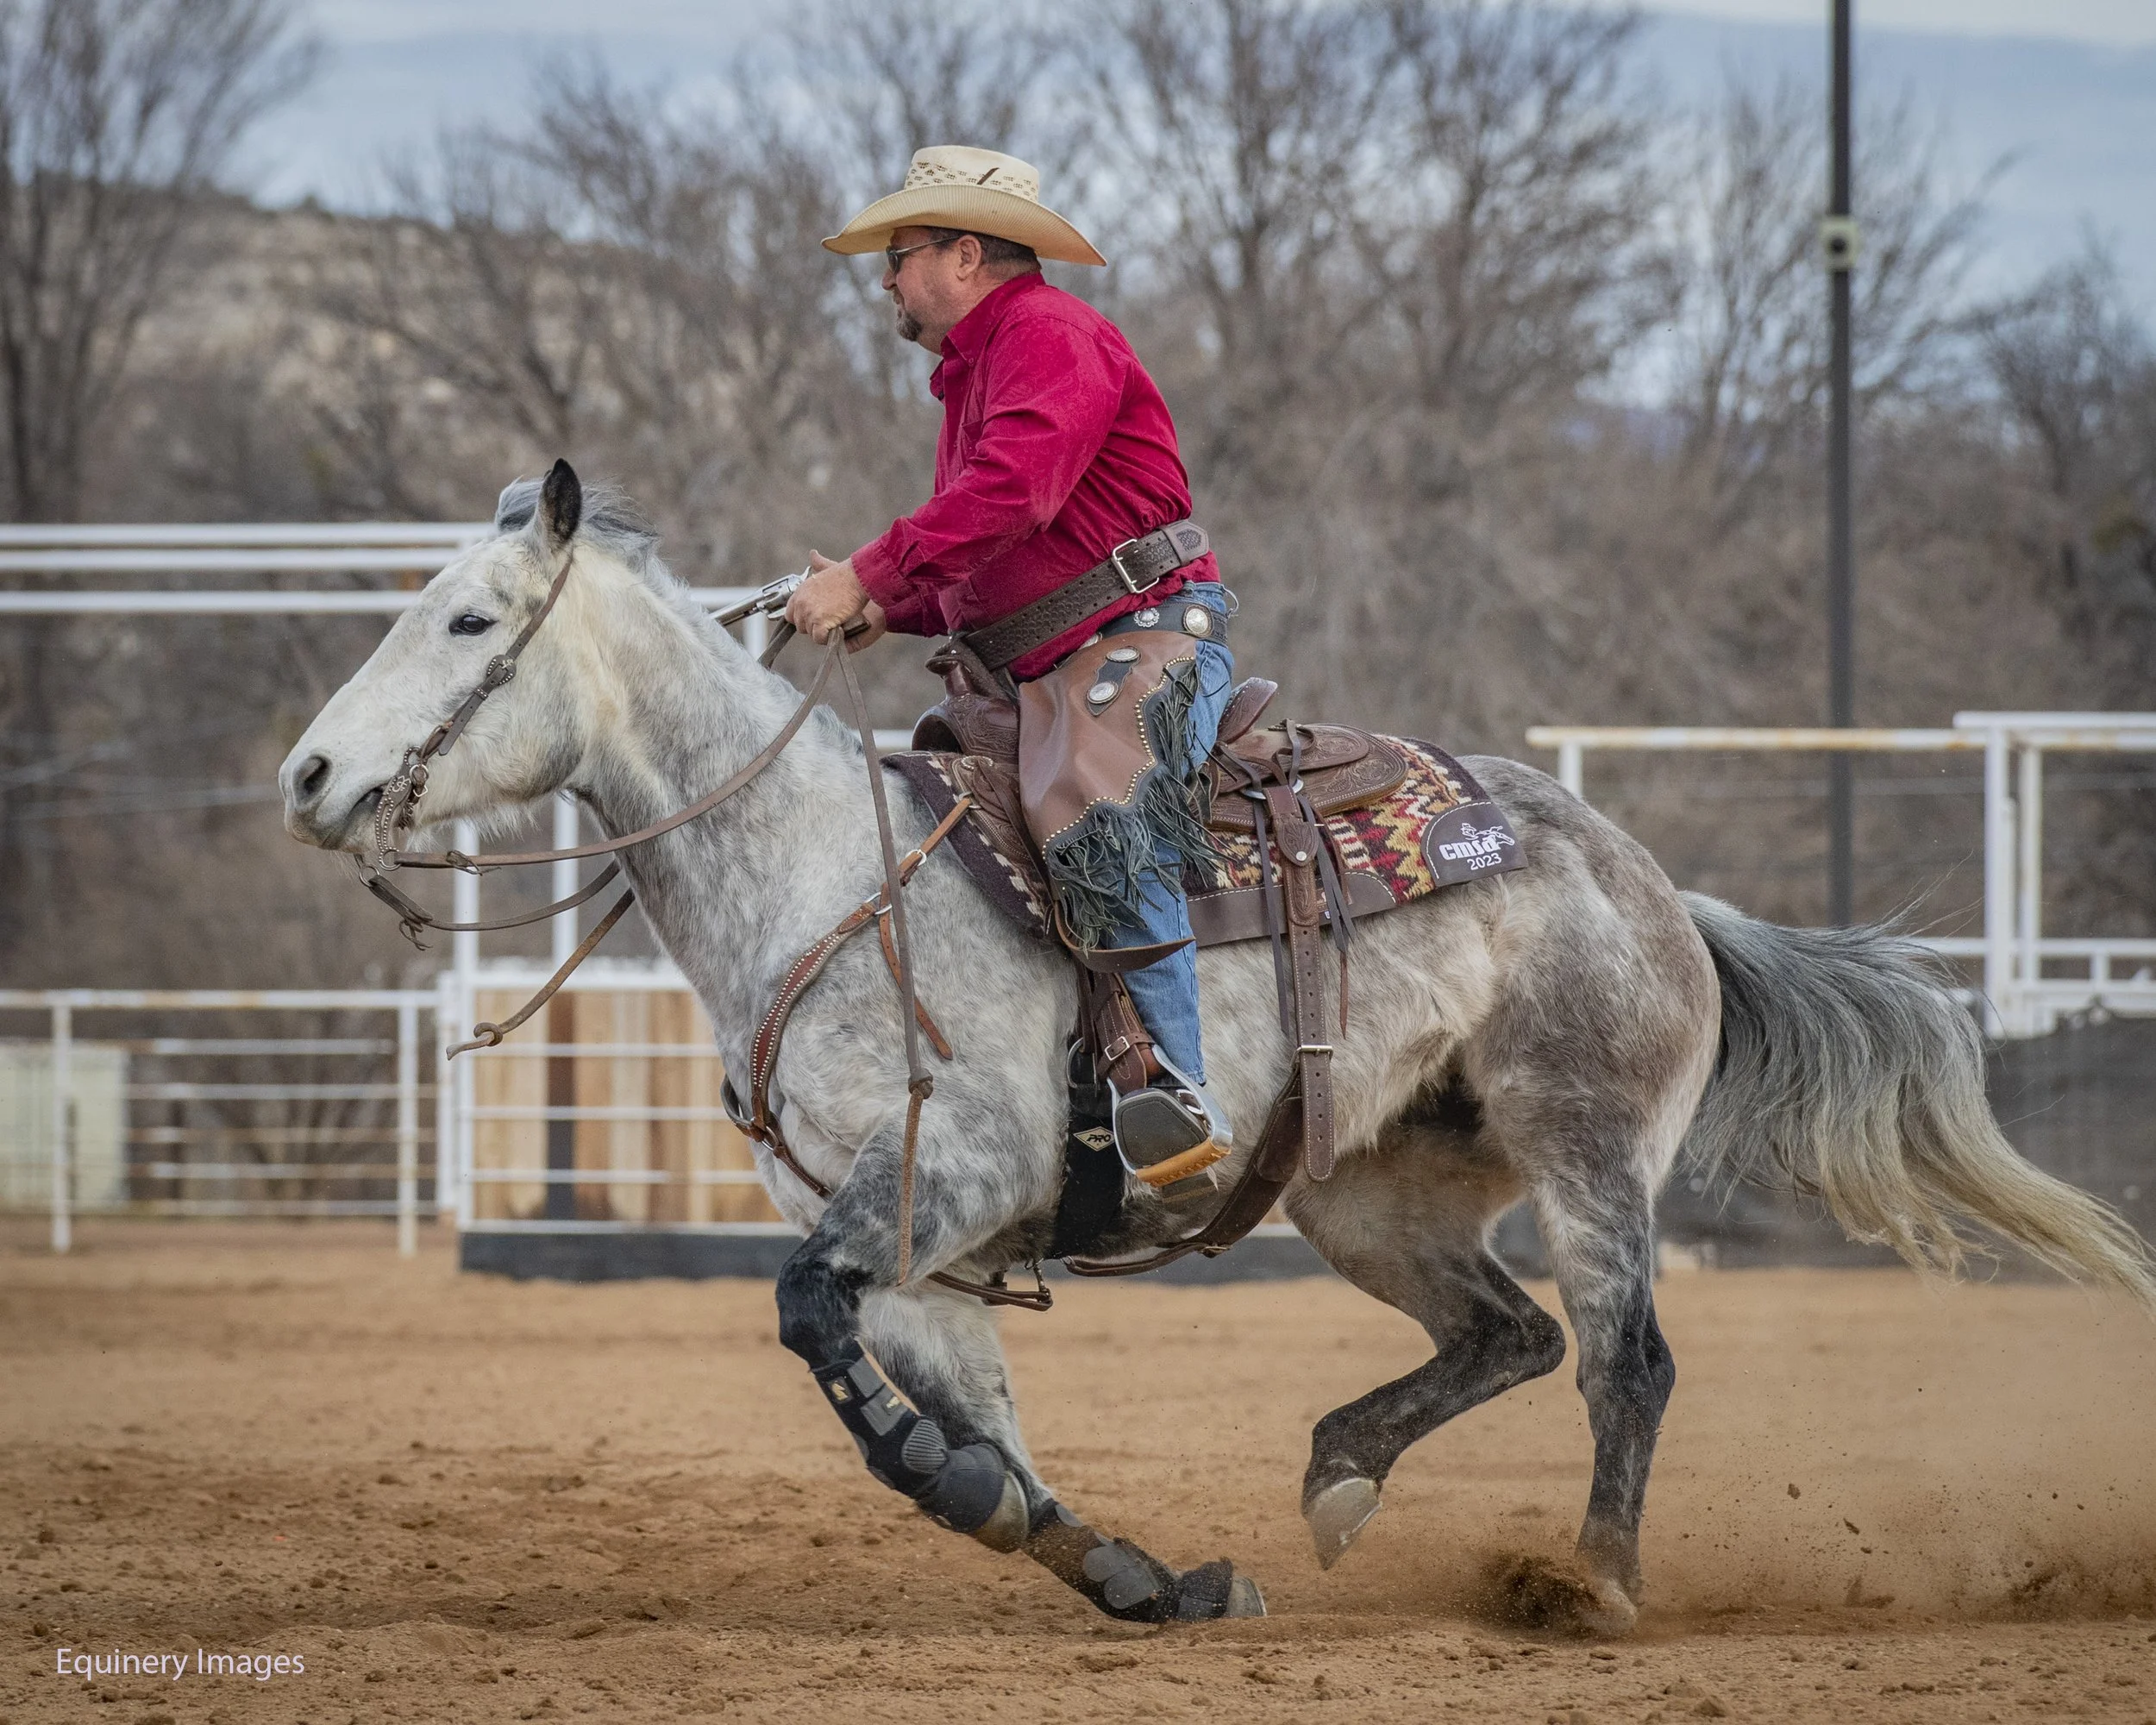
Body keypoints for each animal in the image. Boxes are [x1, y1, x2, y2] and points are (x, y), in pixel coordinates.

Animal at [279, 461, 2155, 1634]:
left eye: (466, 621)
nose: (308, 775)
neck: (821, 869)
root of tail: (1655, 886)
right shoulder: (914, 1240)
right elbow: (973, 1405)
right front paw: (1123, 1565)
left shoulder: (945, 1173)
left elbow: (817, 1328)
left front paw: (953, 1488)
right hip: (1369, 1197)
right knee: (1508, 1335)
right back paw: (1338, 1477)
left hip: (1587, 1148)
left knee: (1624, 1360)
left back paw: (1588, 1586)